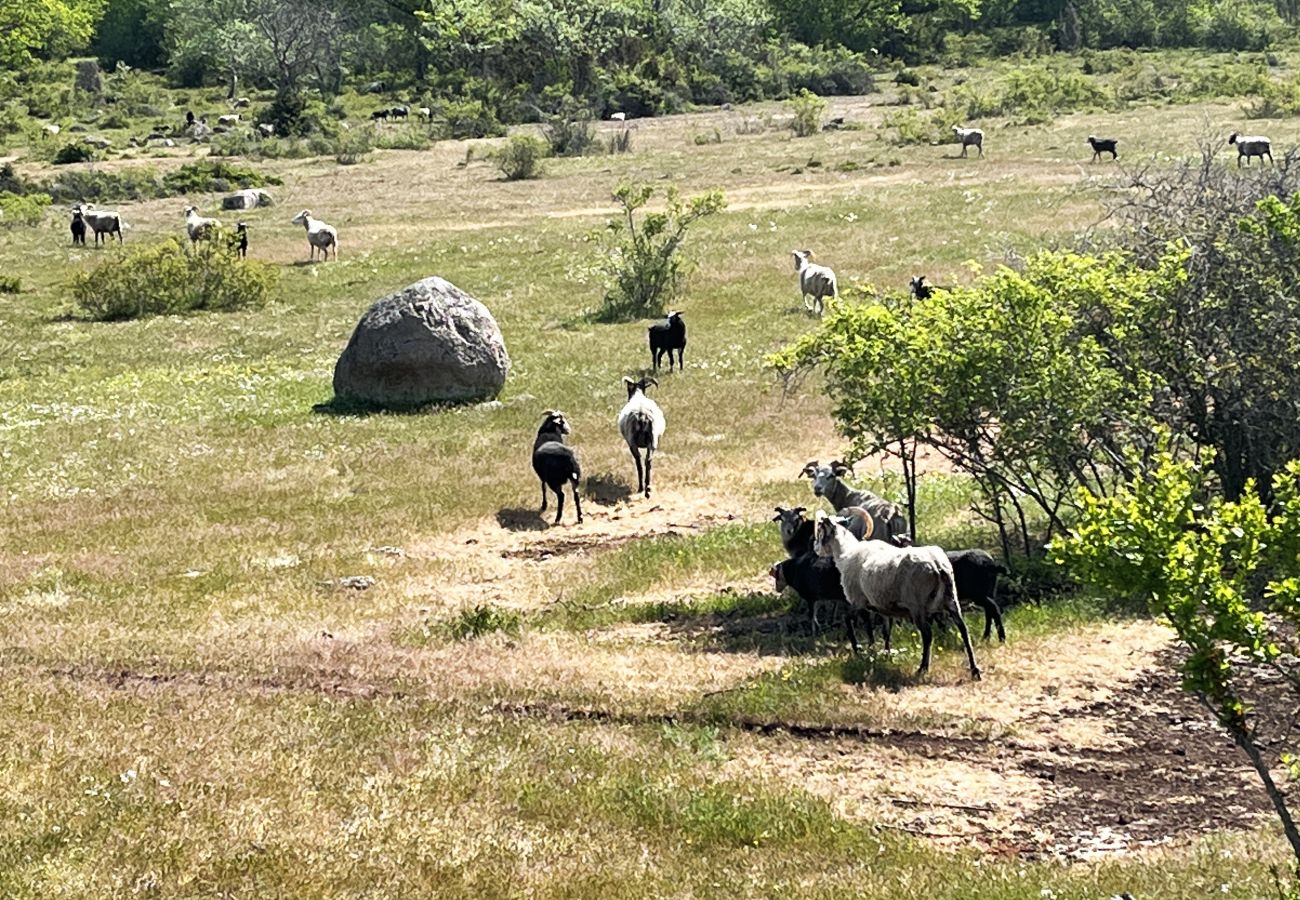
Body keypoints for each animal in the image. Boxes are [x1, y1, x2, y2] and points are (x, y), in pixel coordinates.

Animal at [806, 509, 977, 676]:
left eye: (820, 530)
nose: (815, 548)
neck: (845, 554)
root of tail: (937, 566)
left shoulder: (859, 602)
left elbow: (854, 623)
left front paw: (859, 650)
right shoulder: (883, 607)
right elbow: (886, 632)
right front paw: (885, 654)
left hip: (917, 606)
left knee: (928, 635)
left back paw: (922, 668)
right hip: (951, 599)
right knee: (963, 629)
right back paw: (974, 669)